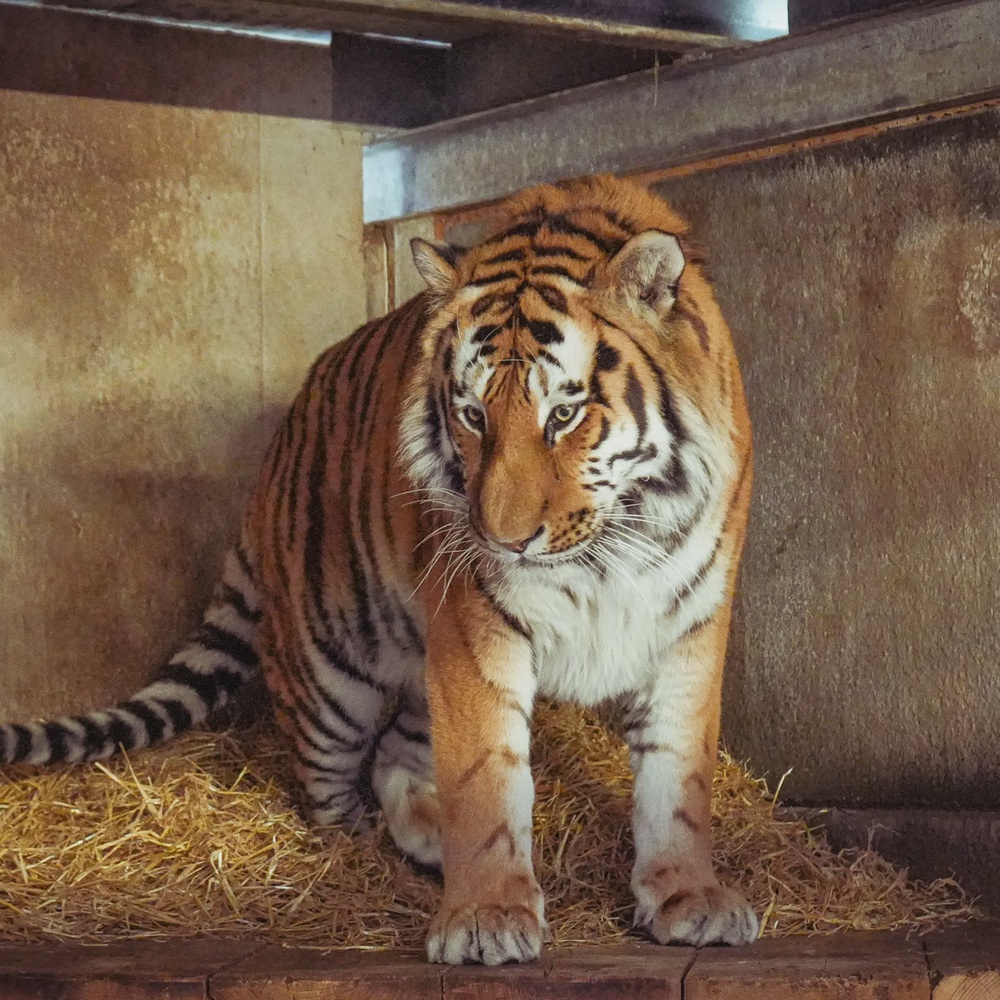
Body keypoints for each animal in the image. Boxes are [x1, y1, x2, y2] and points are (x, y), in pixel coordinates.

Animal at [0, 174, 757, 964]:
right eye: (473, 416)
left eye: (564, 414)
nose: (503, 540)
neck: (610, 548)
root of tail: (271, 460)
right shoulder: (474, 625)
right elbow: (485, 777)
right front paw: (486, 916)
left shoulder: (690, 622)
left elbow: (678, 774)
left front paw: (689, 897)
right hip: (331, 671)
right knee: (328, 782)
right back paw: (370, 839)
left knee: (397, 754)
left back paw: (427, 837)